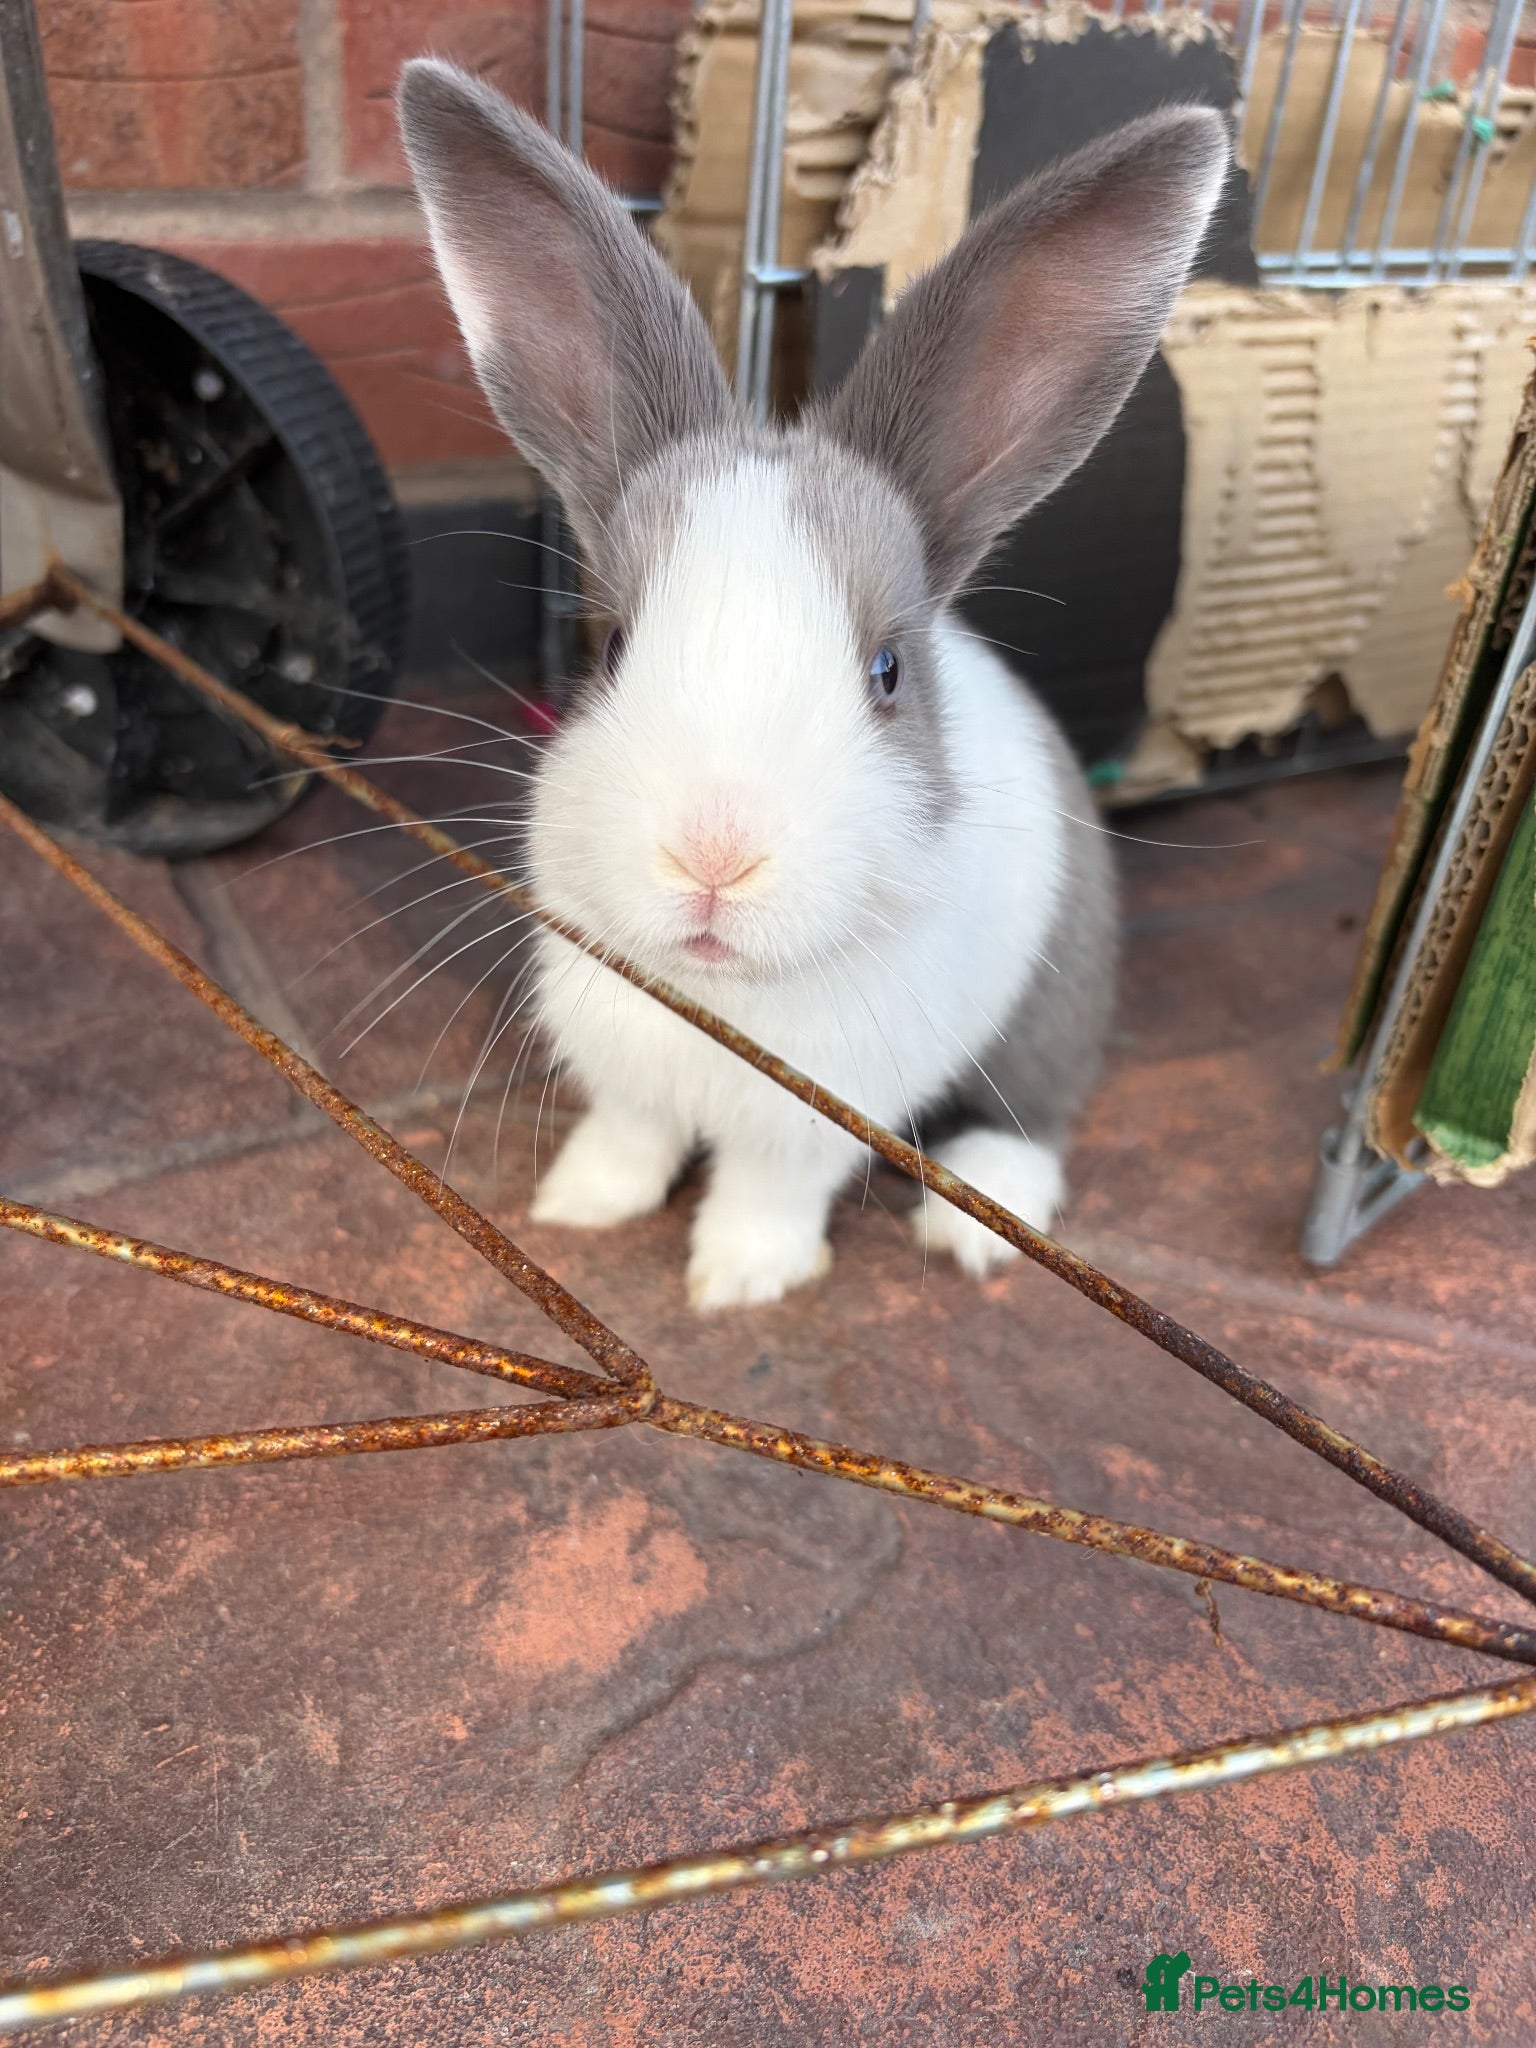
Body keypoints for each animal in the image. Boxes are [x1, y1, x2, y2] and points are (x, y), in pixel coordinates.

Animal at [397, 59, 1229, 1311]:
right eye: (610, 646)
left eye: (885, 670)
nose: (713, 855)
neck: (721, 997)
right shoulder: (623, 1069)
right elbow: (629, 1134)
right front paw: (581, 1205)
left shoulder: (817, 1120)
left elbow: (767, 1190)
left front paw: (738, 1282)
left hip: (1056, 997)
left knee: (1036, 1112)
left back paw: (976, 1228)